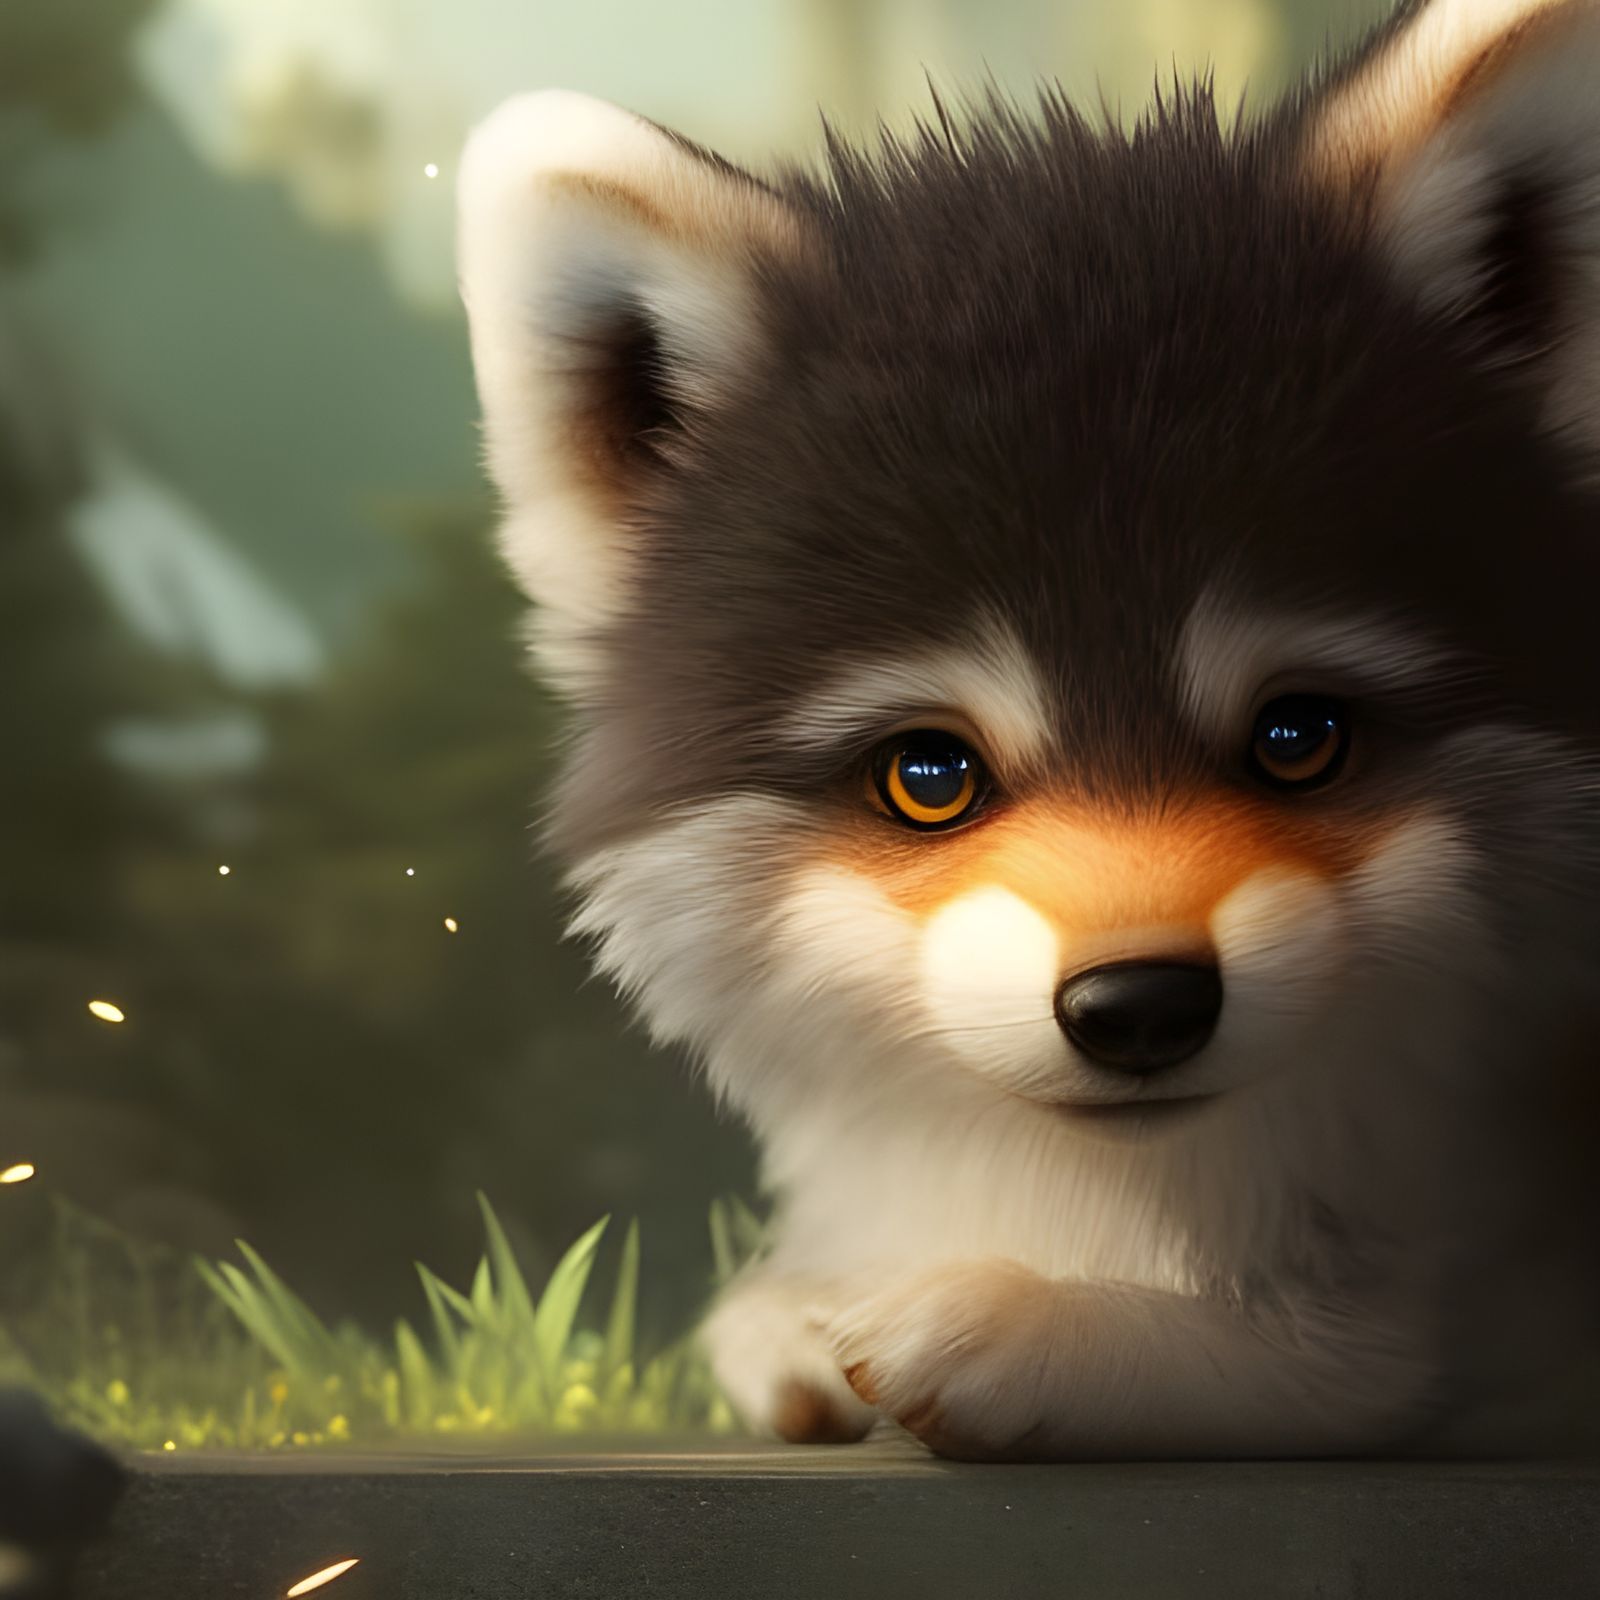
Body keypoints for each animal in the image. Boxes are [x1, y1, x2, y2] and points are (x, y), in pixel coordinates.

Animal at [457, 0, 1600, 1459]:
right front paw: (806, 1306)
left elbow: (1378, 1359)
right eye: (930, 775)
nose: (1141, 1004)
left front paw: (1059, 1321)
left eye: (1298, 737)